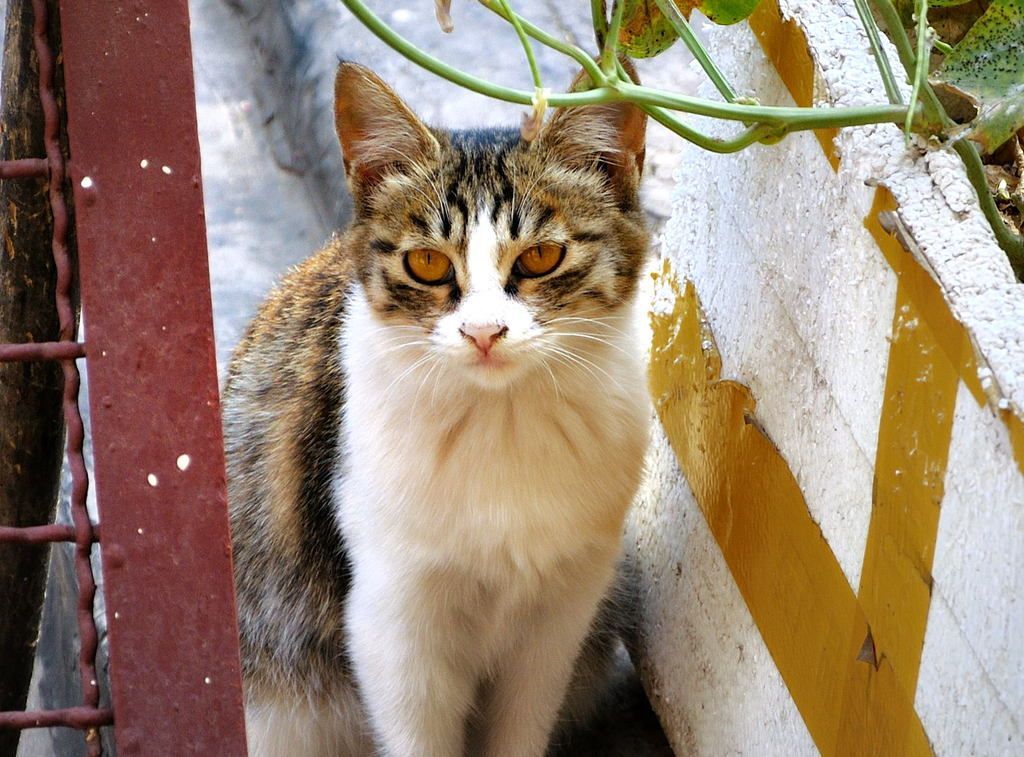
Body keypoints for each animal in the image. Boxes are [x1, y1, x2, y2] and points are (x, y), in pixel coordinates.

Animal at [225, 60, 651, 757]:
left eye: (541, 256)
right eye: (427, 263)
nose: (483, 332)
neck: (503, 421)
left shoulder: (560, 612)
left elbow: (521, 725)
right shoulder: (395, 621)